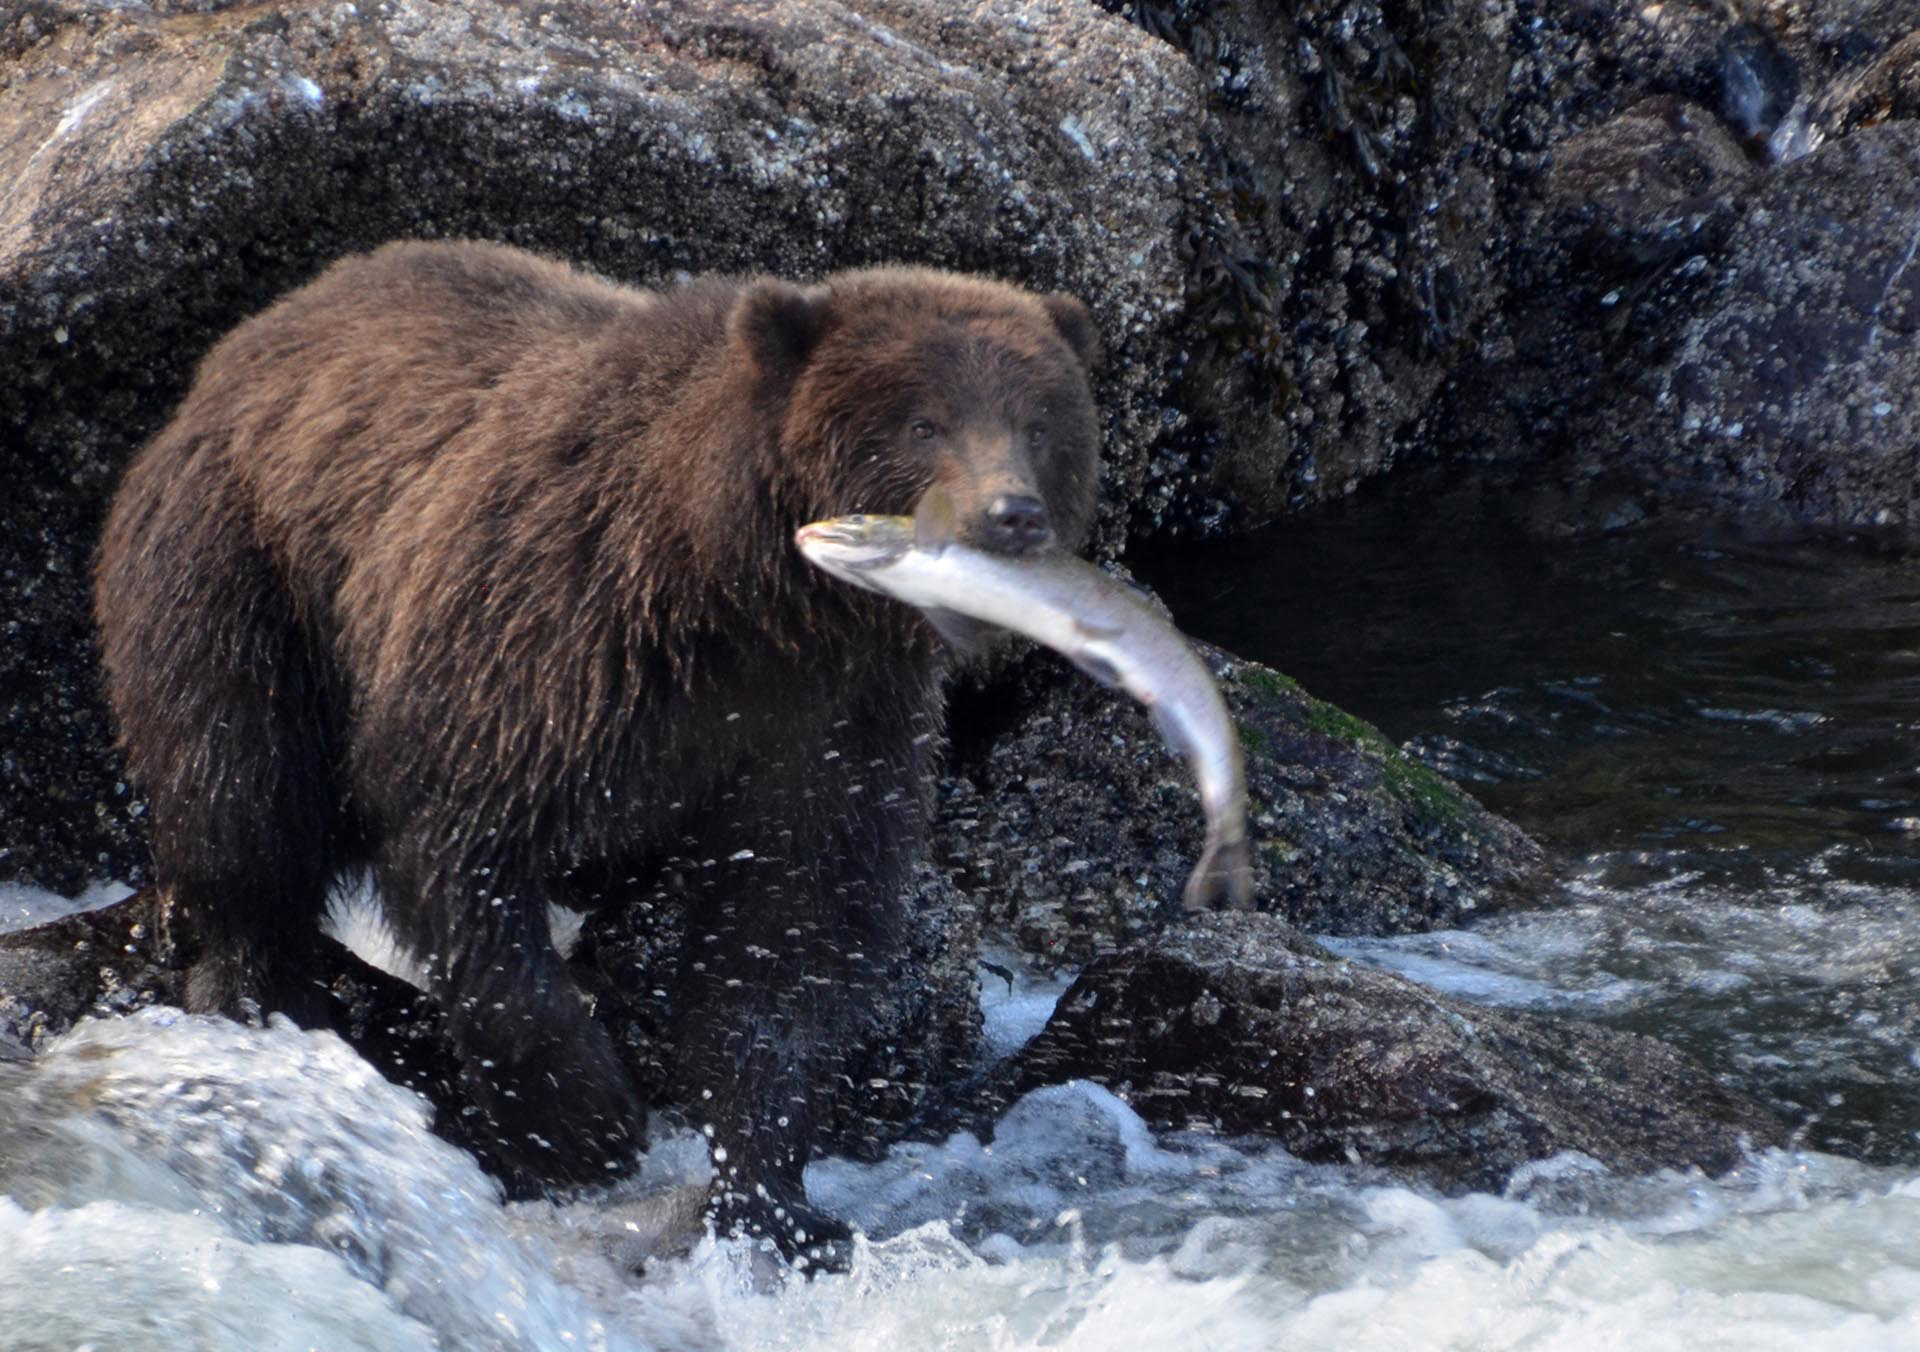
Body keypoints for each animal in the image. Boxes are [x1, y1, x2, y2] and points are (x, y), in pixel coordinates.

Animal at [93, 239, 1101, 1254]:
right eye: (923, 421)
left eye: (1040, 423)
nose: (1010, 514)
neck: (739, 594)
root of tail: (245, 345)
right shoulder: (553, 635)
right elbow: (461, 846)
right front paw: (586, 1119)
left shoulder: (830, 722)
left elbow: (792, 927)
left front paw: (771, 1191)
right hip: (245, 576)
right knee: (242, 790)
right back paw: (253, 997)